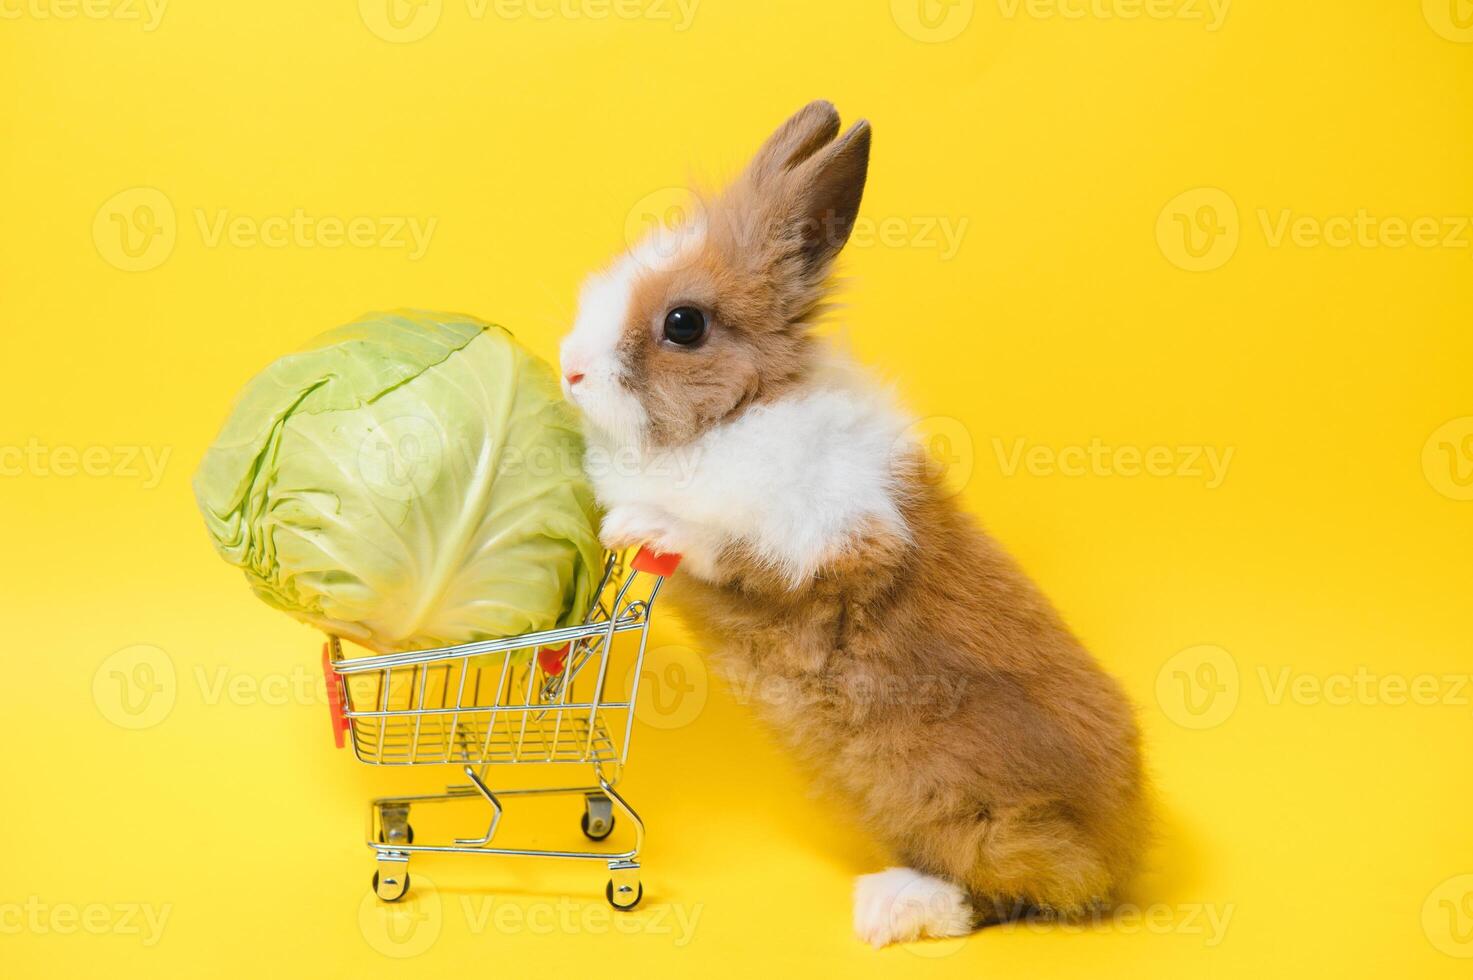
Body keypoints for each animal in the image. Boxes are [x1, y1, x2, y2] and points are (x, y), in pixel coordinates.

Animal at [556, 100, 1143, 949]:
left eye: (684, 323)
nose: (569, 369)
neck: (741, 409)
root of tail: (1127, 851)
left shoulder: (836, 535)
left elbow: (728, 546)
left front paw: (637, 524)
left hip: (977, 815)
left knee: (1010, 895)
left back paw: (891, 907)